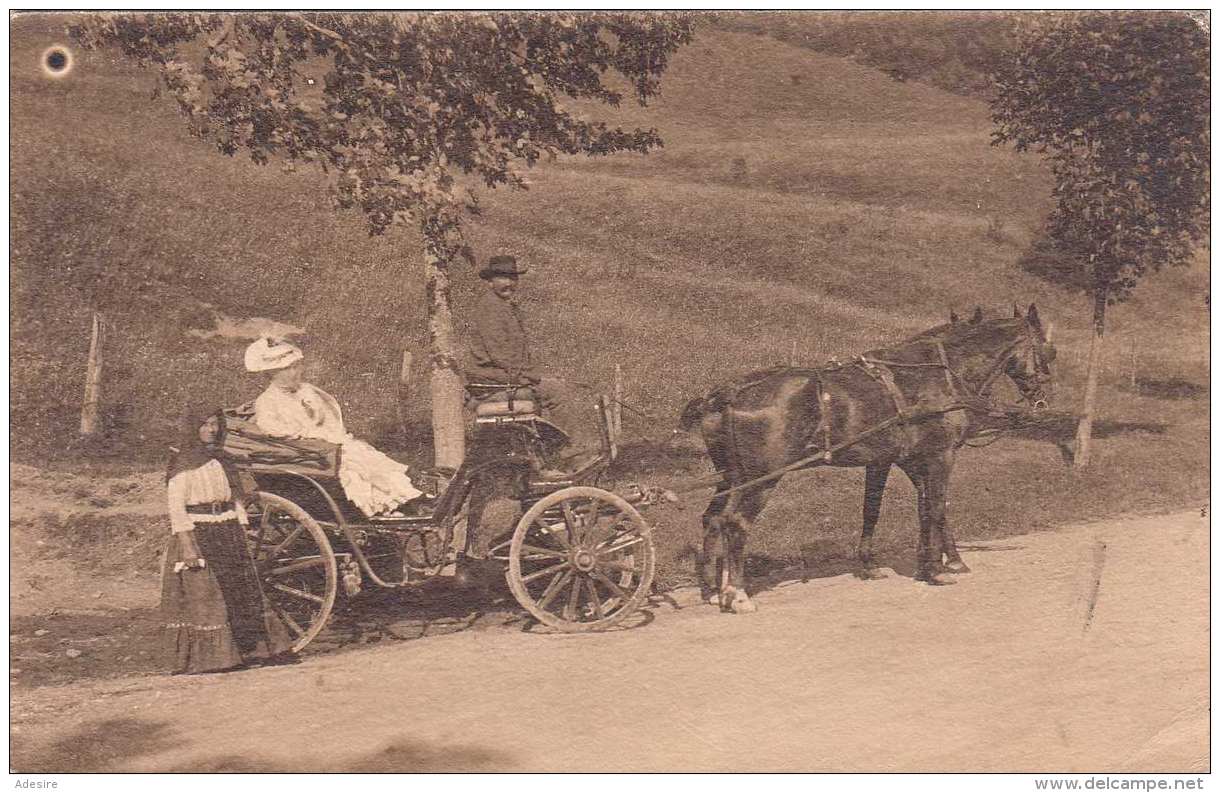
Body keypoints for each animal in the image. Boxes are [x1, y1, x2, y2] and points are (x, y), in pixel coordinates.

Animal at [683, 302, 1054, 612]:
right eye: (1049, 351)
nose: (1043, 399)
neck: (938, 374)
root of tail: (729, 392)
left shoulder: (894, 459)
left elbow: (890, 509)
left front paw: (905, 564)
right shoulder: (939, 455)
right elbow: (936, 507)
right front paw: (939, 568)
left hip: (731, 477)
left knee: (713, 519)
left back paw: (715, 589)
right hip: (763, 479)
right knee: (736, 524)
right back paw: (738, 594)